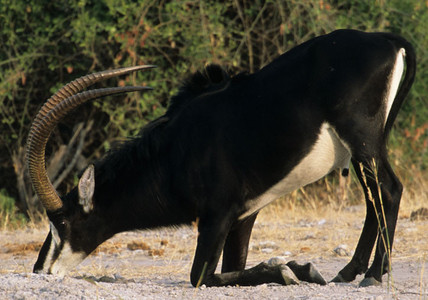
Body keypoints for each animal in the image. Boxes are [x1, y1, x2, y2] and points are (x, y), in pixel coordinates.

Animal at [27, 29, 414, 286]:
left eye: (62, 223)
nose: (39, 270)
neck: (174, 154)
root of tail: (390, 41)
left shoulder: (217, 216)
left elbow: (202, 276)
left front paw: (294, 270)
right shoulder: (244, 216)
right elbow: (232, 266)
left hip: (362, 141)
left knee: (389, 190)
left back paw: (374, 275)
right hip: (367, 147)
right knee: (374, 198)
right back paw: (348, 272)